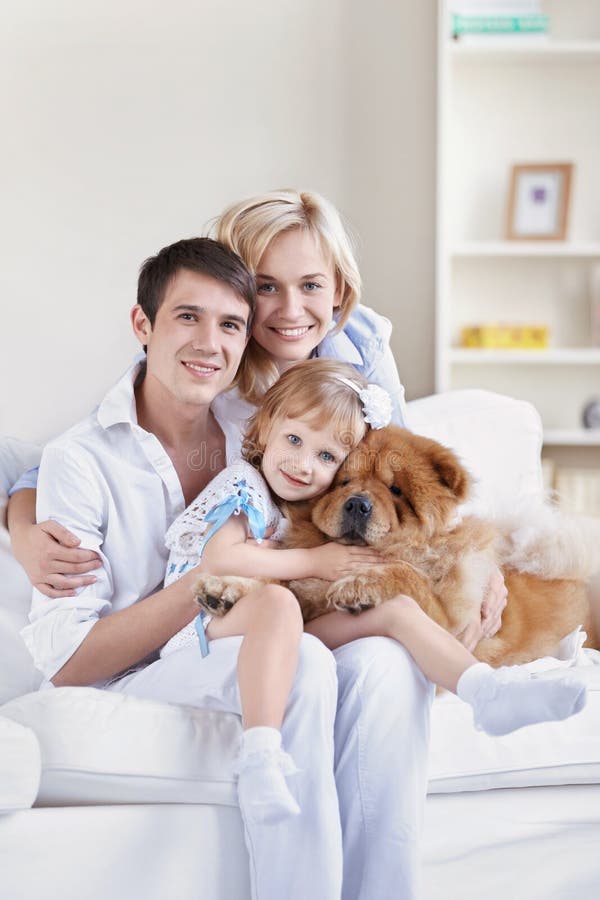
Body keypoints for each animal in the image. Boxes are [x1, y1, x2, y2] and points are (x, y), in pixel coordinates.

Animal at [195, 426, 596, 664]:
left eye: (395, 490)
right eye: (343, 482)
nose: (358, 503)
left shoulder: (452, 627)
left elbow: (407, 574)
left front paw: (359, 586)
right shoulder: (303, 589)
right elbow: (275, 584)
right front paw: (225, 588)